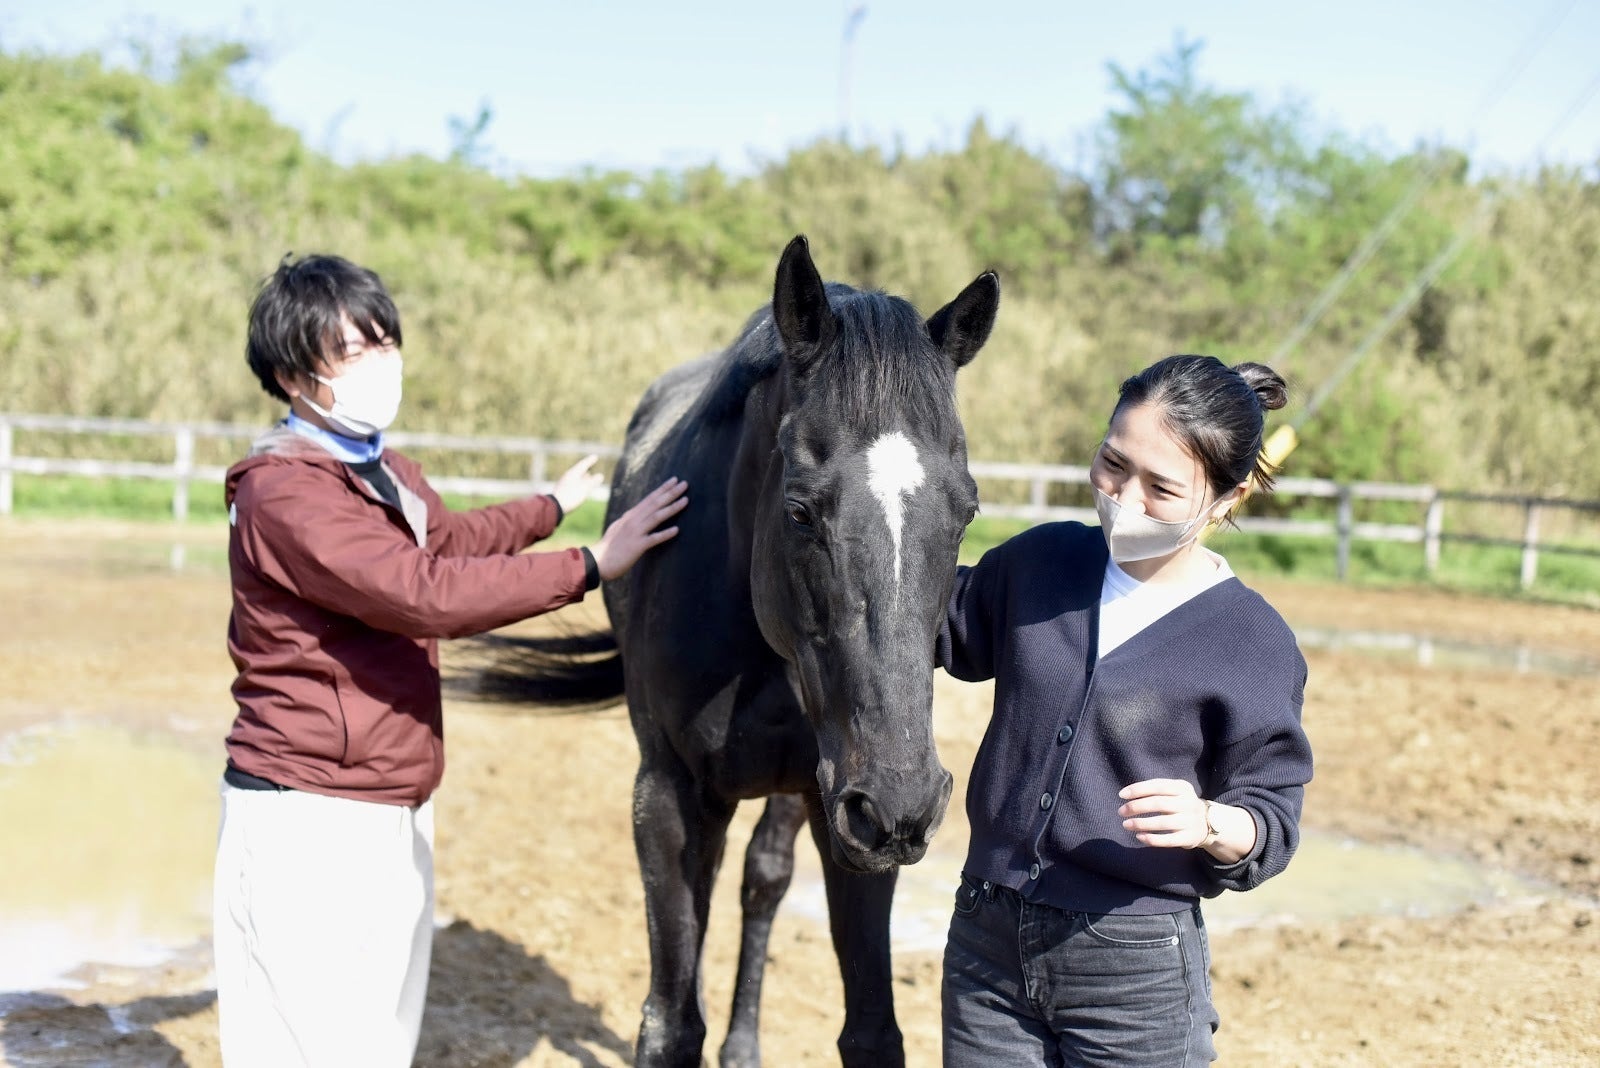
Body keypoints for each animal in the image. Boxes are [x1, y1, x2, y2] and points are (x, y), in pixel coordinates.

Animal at [602, 235, 999, 1067]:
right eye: (799, 511)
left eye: (967, 512)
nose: (908, 799)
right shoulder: (666, 794)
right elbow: (668, 1025)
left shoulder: (848, 815)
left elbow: (872, 1029)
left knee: (762, 881)